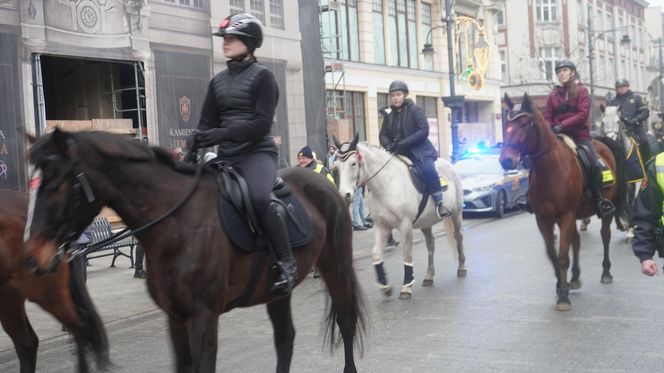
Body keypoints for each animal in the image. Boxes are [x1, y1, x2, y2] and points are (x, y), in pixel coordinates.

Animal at [22, 129, 364, 372]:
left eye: (55, 185)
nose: (31, 258)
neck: (176, 221)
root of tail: (327, 185)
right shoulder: (175, 317)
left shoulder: (204, 316)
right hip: (277, 291)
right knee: (285, 339)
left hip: (336, 267)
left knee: (345, 322)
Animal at [332, 135, 466, 298]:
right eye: (337, 167)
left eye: (353, 163)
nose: (344, 195)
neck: (386, 184)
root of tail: (450, 164)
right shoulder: (382, 226)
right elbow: (376, 254)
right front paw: (385, 286)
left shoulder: (405, 225)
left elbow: (407, 255)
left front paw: (406, 287)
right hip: (426, 222)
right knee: (431, 244)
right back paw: (429, 275)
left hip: (456, 213)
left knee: (458, 237)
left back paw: (461, 267)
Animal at [498, 93, 628, 310]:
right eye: (507, 124)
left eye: (524, 124)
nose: (506, 161)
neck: (551, 170)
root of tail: (602, 142)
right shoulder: (544, 219)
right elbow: (553, 254)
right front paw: (561, 285)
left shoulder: (566, 216)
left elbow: (562, 257)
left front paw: (564, 297)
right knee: (576, 241)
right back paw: (574, 278)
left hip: (604, 210)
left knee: (605, 236)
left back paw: (606, 272)